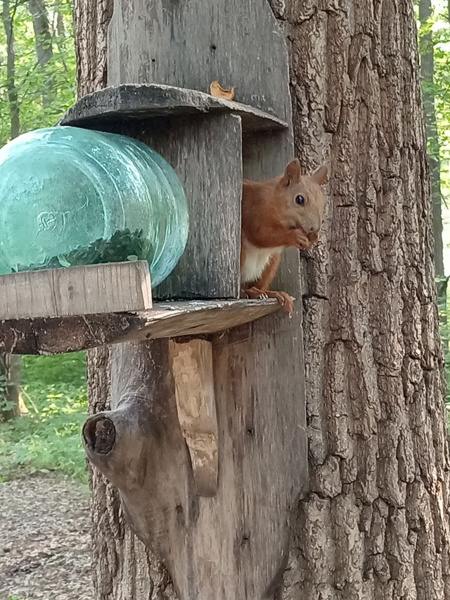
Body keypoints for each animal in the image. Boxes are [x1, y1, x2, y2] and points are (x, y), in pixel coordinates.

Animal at [241, 157, 328, 314]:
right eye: (299, 199)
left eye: (323, 203)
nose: (314, 228)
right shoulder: (253, 212)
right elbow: (260, 235)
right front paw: (295, 236)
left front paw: (312, 239)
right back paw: (244, 292)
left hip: (272, 261)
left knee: (257, 285)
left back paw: (268, 293)